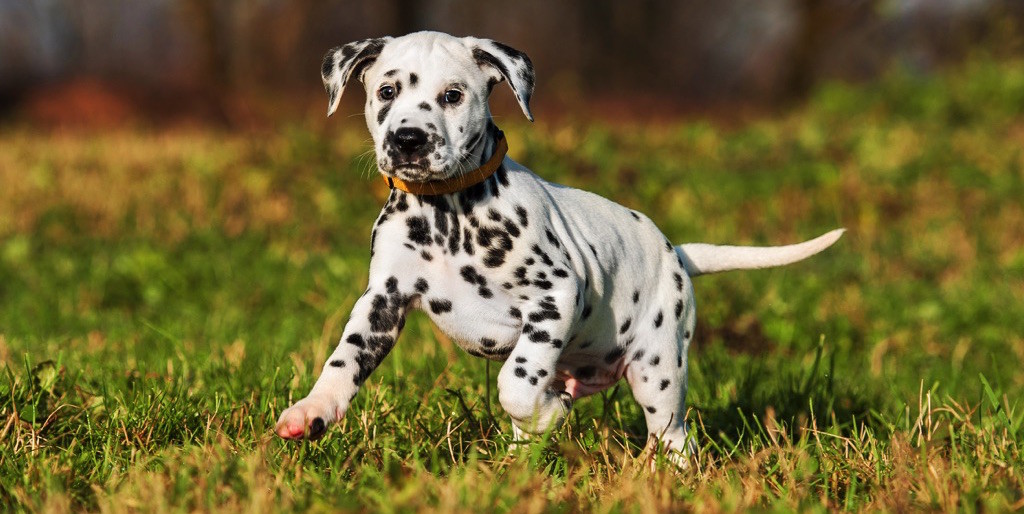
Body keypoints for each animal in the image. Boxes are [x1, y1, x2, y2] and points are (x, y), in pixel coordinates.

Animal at [276, 30, 843, 460]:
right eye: (387, 91)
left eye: (453, 95)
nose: (408, 140)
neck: (447, 216)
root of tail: (676, 253)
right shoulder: (383, 302)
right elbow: (345, 359)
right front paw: (313, 411)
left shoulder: (554, 297)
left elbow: (517, 383)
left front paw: (550, 410)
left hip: (658, 367)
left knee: (672, 434)